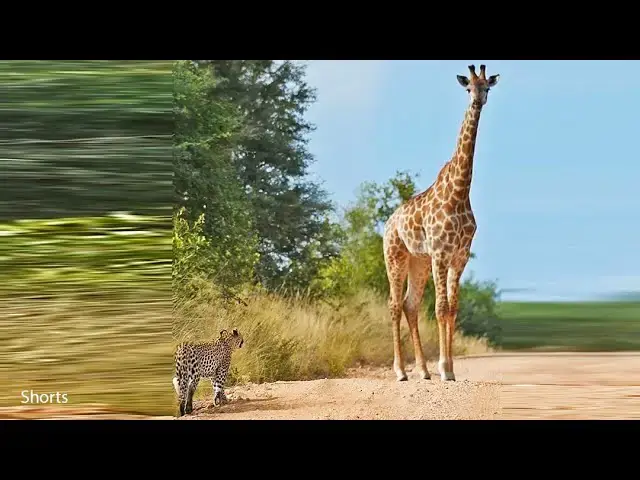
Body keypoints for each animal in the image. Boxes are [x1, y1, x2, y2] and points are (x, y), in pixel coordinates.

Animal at [382, 64, 500, 382]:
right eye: (468, 87)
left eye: (486, 87)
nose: (478, 101)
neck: (459, 191)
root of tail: (387, 224)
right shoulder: (440, 252)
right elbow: (440, 307)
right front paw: (444, 369)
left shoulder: (460, 255)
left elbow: (453, 308)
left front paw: (448, 368)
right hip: (396, 257)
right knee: (395, 305)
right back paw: (400, 371)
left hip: (418, 261)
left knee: (410, 305)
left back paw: (422, 370)